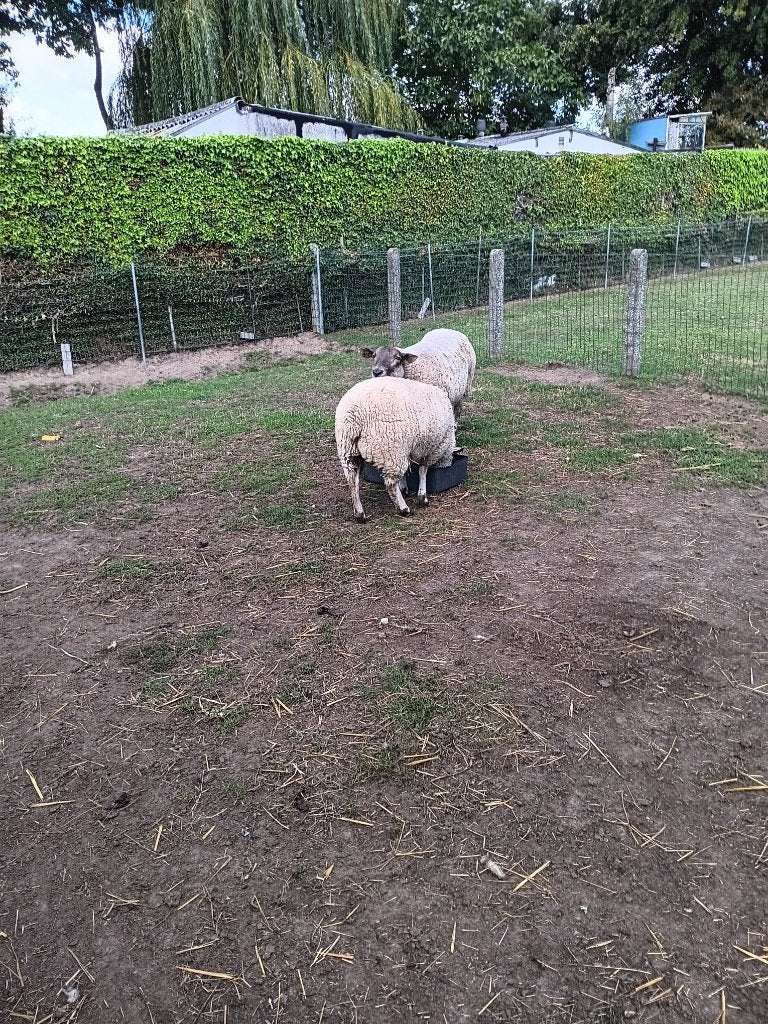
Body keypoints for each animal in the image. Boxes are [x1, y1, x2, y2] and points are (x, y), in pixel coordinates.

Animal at [335, 376, 456, 521]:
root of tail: (353, 417)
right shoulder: (430, 450)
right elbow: (423, 471)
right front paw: (422, 497)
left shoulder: (410, 450)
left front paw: (404, 488)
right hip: (391, 450)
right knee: (390, 483)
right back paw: (403, 508)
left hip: (348, 449)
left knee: (352, 480)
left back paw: (360, 514)